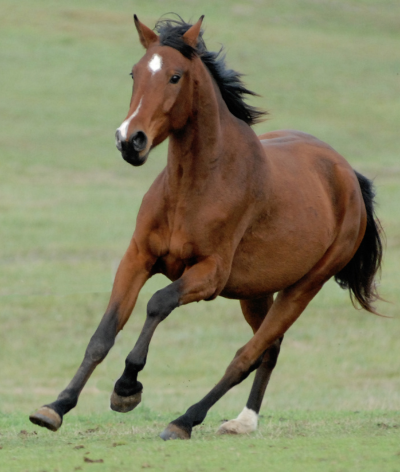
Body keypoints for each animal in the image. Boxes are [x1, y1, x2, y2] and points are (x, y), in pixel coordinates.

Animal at [29, 15, 382, 442]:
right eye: (134, 73)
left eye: (175, 76)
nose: (130, 141)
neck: (194, 186)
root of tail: (348, 175)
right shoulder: (137, 258)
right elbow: (103, 334)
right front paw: (55, 407)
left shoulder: (209, 275)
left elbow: (158, 303)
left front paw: (127, 387)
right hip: (256, 292)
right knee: (270, 348)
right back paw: (243, 421)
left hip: (303, 287)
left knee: (248, 354)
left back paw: (185, 420)